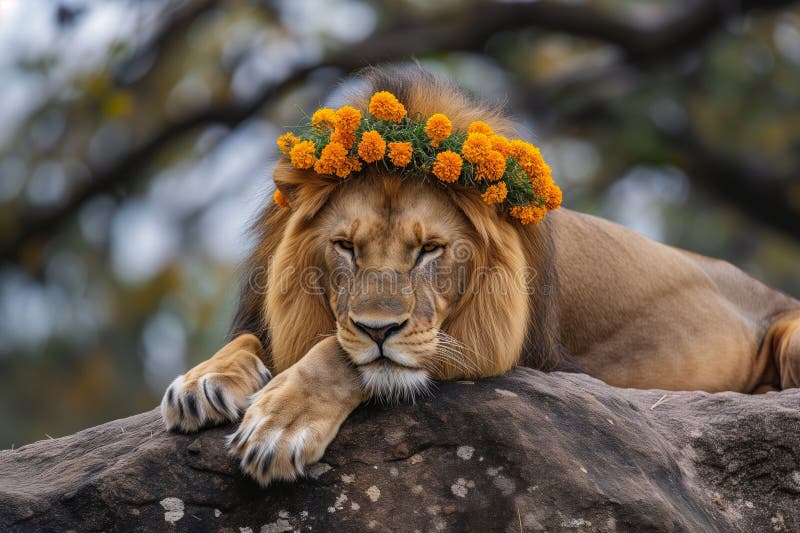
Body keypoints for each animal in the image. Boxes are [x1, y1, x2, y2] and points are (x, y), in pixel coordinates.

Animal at [160, 66, 800, 486]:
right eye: (345, 248)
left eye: (429, 251)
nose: (378, 330)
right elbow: (259, 338)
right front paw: (202, 381)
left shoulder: (498, 350)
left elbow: (339, 353)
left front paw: (280, 424)